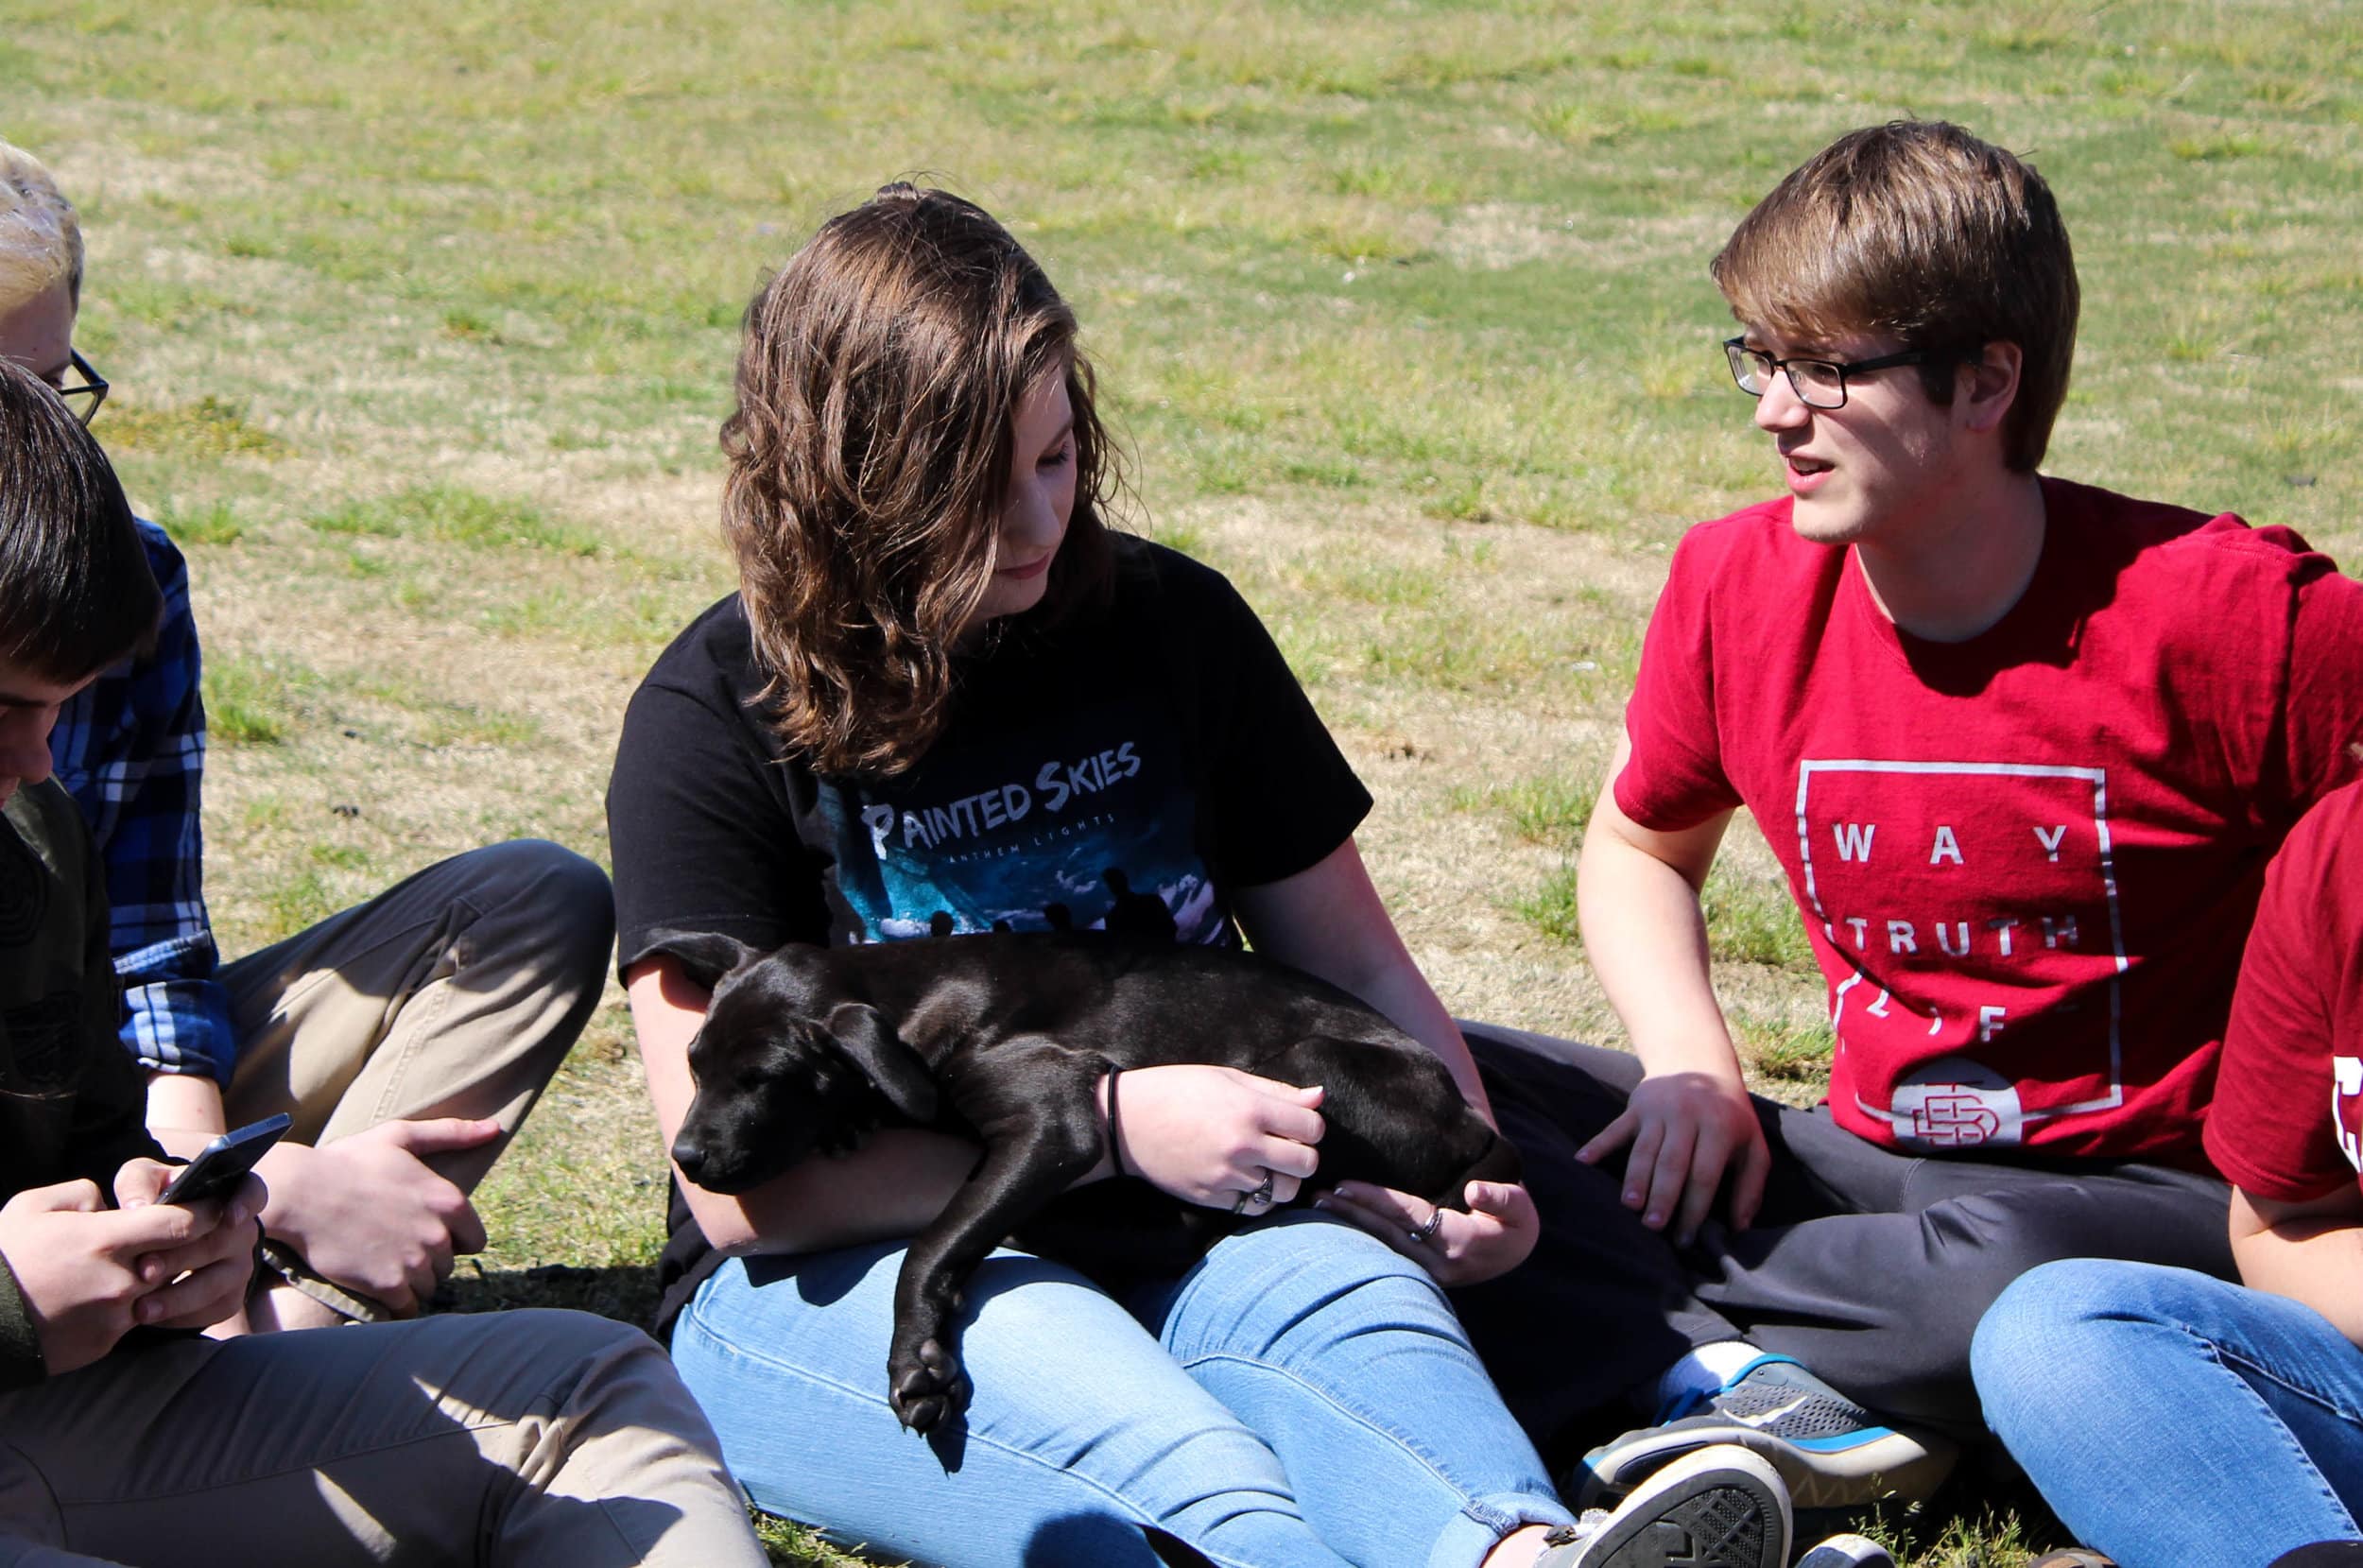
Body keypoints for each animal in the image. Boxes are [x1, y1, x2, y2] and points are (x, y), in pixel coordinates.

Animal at [657, 930, 1522, 1436]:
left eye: (766, 1080)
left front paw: (917, 1358)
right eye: (693, 1065)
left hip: (1301, 1069)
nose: (687, 1158)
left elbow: (929, 1245)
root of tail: (1478, 1129)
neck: (908, 991)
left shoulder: (1056, 1122)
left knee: (1195, 1225)